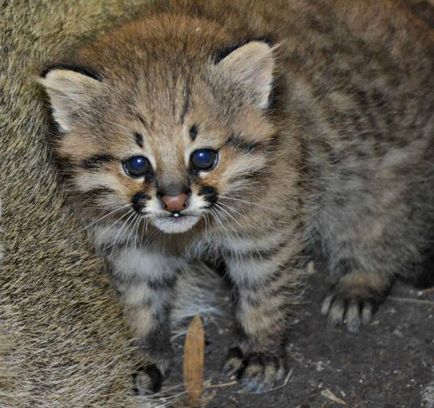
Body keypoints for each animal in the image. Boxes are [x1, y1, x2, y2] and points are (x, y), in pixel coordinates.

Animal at [39, 0, 432, 396]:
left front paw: (260, 351)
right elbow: (141, 300)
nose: (175, 203)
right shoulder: (131, 244)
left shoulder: (265, 230)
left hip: (380, 176)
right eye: (136, 164)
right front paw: (144, 351)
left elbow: (262, 294)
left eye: (203, 157)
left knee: (379, 226)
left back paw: (359, 283)